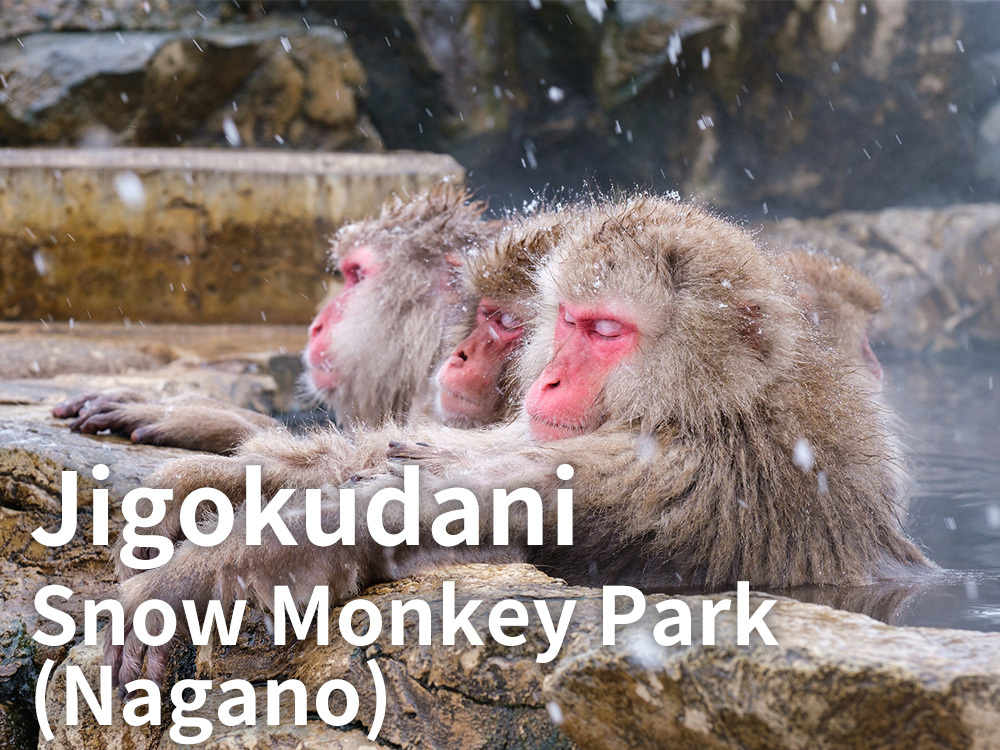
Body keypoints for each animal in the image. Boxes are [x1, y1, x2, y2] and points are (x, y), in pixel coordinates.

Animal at [105, 194, 931, 687]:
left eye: (606, 331)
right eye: (565, 320)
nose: (549, 380)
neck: (718, 408)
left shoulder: (675, 475)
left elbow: (432, 516)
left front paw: (189, 578)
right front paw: (216, 458)